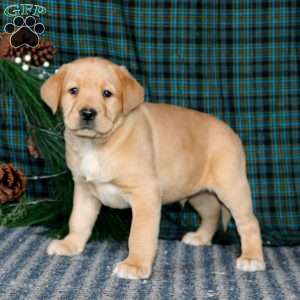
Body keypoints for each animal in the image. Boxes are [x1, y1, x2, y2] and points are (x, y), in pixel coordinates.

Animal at [40, 56, 264, 278]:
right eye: (73, 90)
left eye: (107, 94)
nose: (87, 113)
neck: (96, 144)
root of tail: (230, 131)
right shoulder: (84, 189)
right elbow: (78, 220)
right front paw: (70, 244)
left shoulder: (145, 194)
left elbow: (139, 234)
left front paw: (135, 264)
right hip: (198, 192)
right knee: (212, 213)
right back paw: (200, 237)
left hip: (231, 187)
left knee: (249, 222)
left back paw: (252, 258)